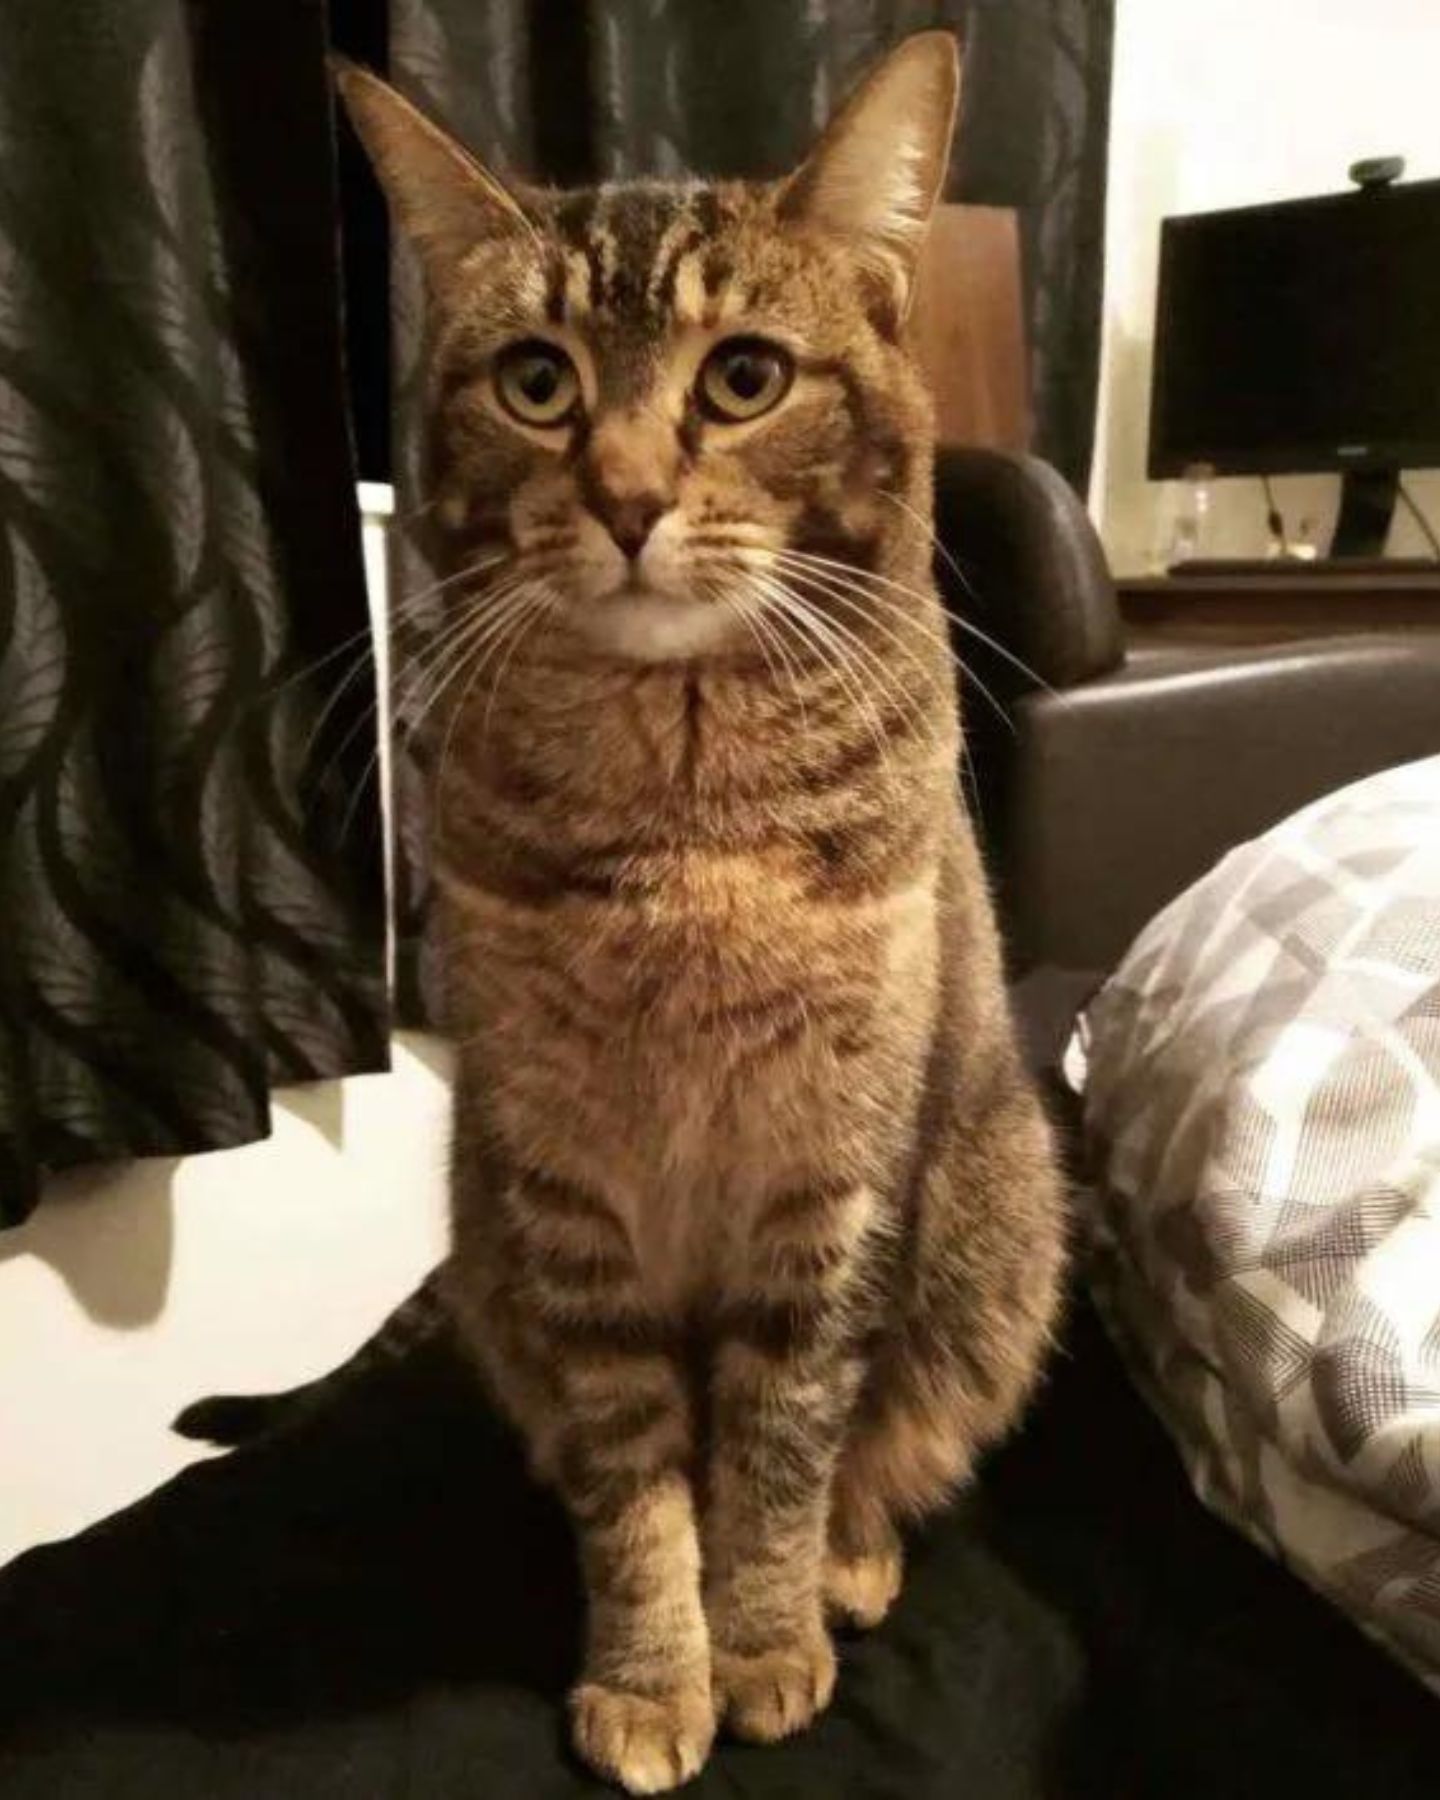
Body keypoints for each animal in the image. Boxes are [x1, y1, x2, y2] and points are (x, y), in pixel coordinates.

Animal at [329, 35, 1065, 1792]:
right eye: (537, 382)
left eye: (743, 378)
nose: (625, 498)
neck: (682, 818)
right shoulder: (564, 1201)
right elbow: (634, 1480)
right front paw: (660, 1673)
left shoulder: (829, 1188)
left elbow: (784, 1453)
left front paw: (767, 1637)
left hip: (1000, 1230)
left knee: (888, 1452)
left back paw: (853, 1567)